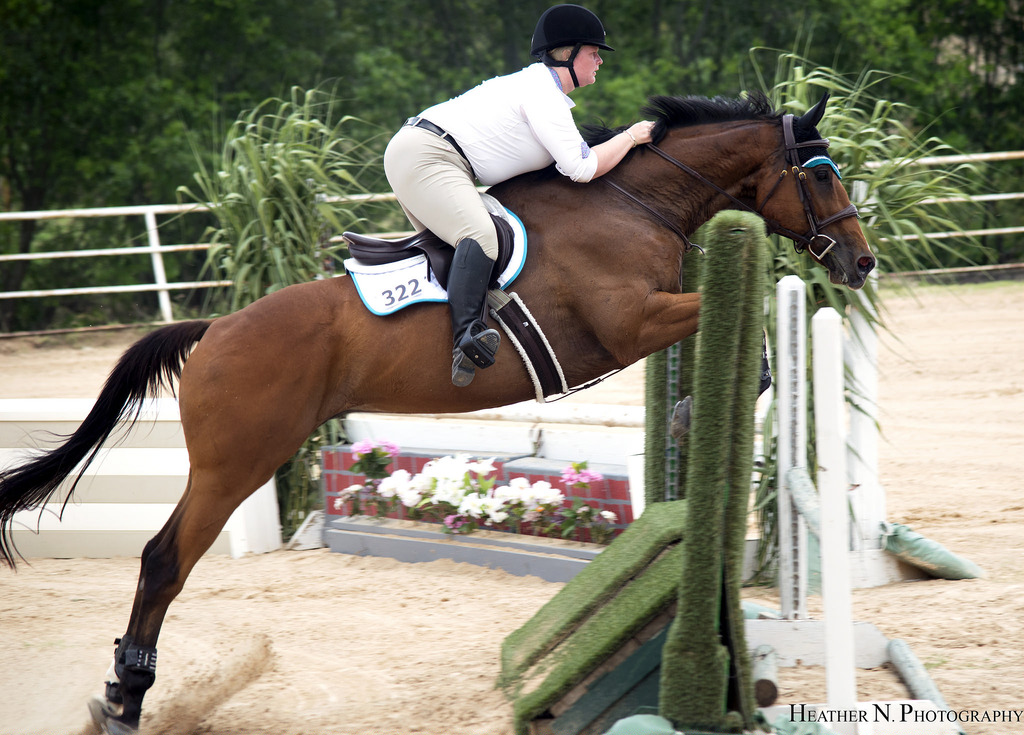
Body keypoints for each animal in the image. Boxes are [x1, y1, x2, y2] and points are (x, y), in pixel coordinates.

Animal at [0, 91, 873, 734]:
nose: (861, 263)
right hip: (237, 462)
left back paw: (122, 690)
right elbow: (751, 338)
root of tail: (214, 328)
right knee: (164, 560)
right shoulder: (631, 325)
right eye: (821, 175)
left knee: (163, 558)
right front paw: (696, 412)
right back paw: (127, 698)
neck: (634, 201)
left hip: (233, 460)